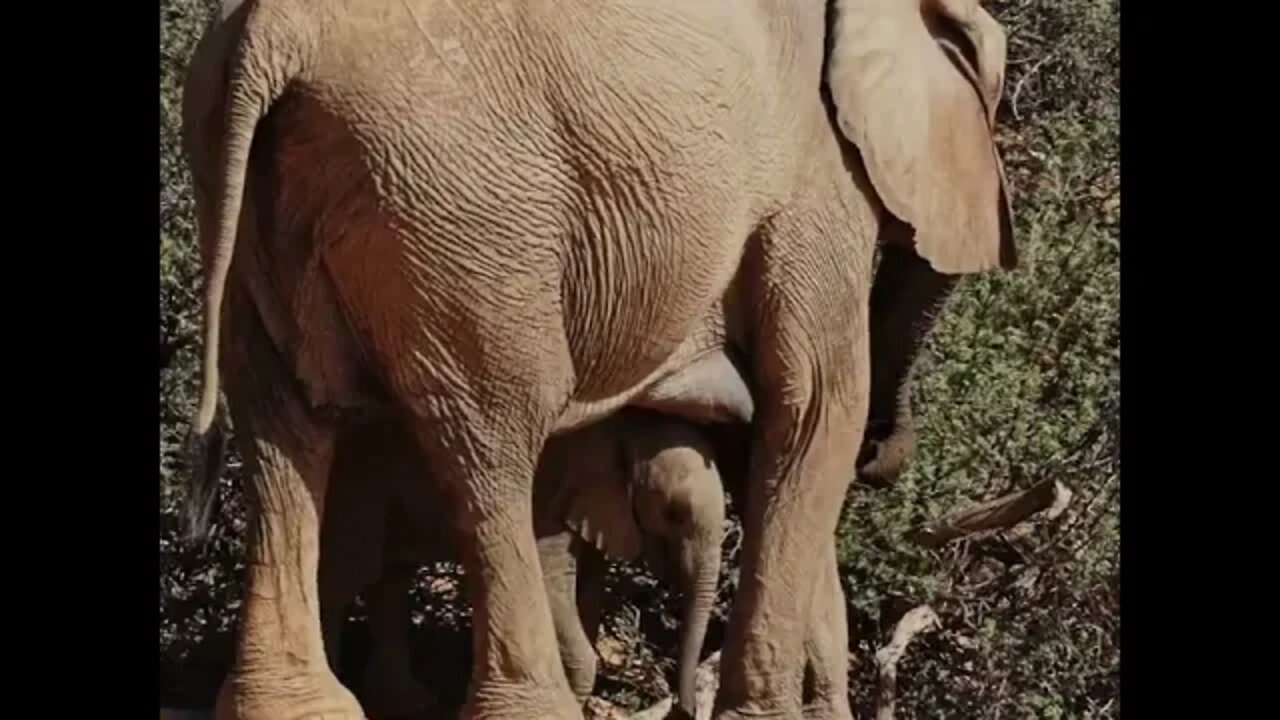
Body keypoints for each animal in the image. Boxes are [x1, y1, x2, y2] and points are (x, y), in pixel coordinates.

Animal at [183, 0, 1018, 712]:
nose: (889, 452)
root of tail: (276, 31)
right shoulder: (816, 180)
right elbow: (815, 407)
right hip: (453, 210)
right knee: (492, 436)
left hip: (251, 186)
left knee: (282, 427)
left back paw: (294, 706)